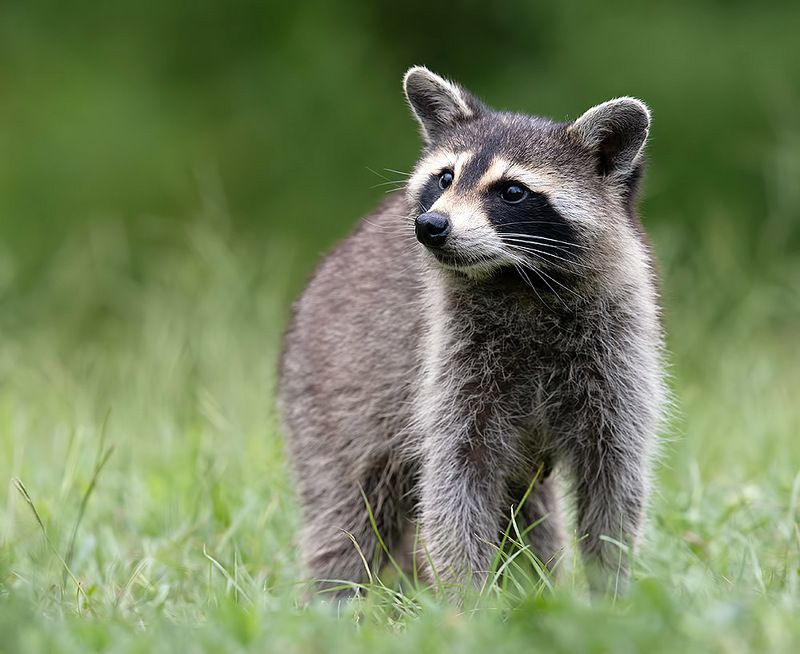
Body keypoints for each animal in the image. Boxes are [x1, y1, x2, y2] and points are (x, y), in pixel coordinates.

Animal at [279, 66, 666, 596]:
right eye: (445, 177)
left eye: (513, 191)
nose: (430, 225)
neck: (518, 280)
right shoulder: (452, 364)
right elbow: (455, 483)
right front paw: (466, 601)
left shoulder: (617, 355)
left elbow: (615, 483)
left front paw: (609, 592)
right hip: (333, 396)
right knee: (347, 514)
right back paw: (333, 598)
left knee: (530, 523)